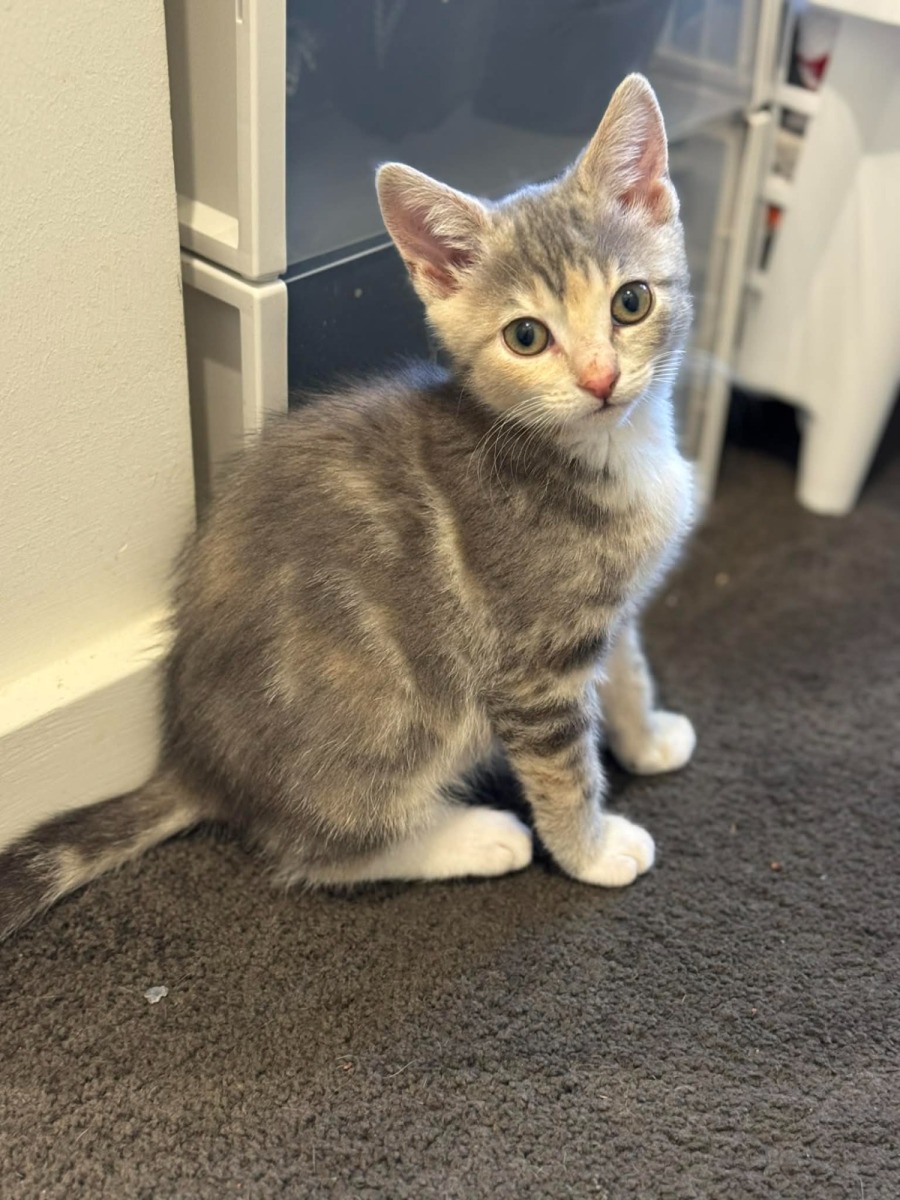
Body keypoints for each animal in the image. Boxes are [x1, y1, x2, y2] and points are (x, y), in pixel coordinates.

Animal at [0, 74, 696, 940]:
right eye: (527, 337)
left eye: (630, 302)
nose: (601, 379)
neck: (608, 452)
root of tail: (194, 761)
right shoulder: (535, 663)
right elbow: (563, 771)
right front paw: (592, 851)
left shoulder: (612, 608)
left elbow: (628, 669)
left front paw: (647, 736)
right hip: (398, 715)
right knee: (311, 853)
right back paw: (475, 836)